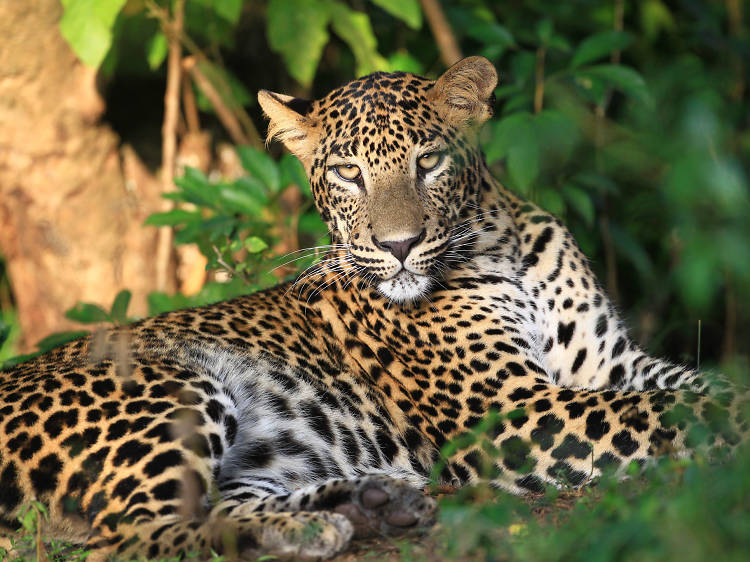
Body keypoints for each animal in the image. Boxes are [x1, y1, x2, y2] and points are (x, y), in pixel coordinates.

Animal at [0, 57, 748, 560]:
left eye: (429, 162)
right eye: (347, 173)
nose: (398, 245)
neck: (502, 246)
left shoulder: (612, 365)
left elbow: (697, 386)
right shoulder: (511, 413)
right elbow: (673, 412)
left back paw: (365, 505)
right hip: (170, 384)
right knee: (127, 534)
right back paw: (315, 525)